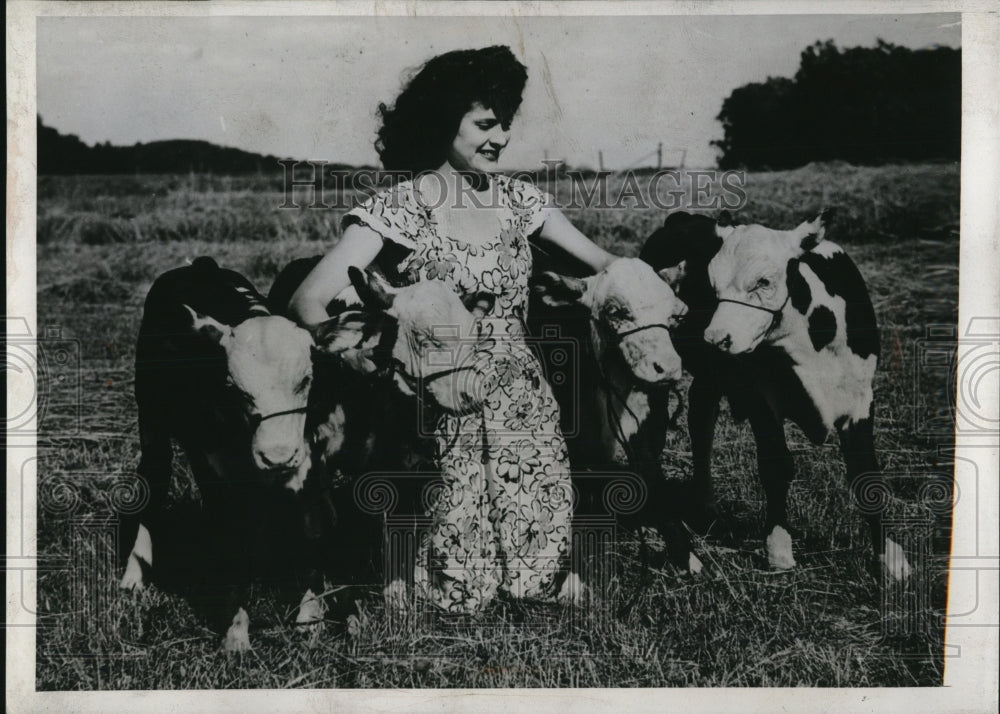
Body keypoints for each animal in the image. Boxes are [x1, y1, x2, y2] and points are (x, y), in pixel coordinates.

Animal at [528, 258, 700, 572]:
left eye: (672, 315)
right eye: (615, 311)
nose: (668, 367)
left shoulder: (645, 429)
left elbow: (653, 478)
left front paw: (686, 555)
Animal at [644, 210, 912, 580]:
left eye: (764, 282)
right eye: (712, 285)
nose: (715, 337)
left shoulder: (860, 398)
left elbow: (866, 477)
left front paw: (890, 557)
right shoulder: (760, 397)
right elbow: (776, 467)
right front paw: (779, 549)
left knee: (701, 416)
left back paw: (706, 504)